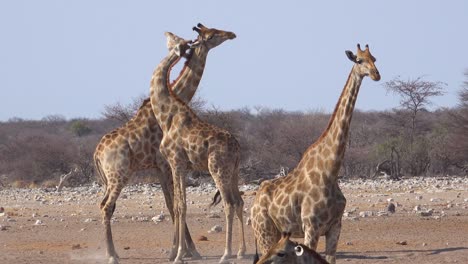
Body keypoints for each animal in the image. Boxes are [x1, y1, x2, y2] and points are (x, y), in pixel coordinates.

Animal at [93, 27, 236, 264]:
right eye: (213, 34)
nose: (231, 34)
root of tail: (97, 153)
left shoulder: (161, 166)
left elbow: (172, 204)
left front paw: (185, 251)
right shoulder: (164, 164)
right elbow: (174, 204)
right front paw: (186, 251)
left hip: (110, 178)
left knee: (107, 206)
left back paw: (112, 252)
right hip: (118, 174)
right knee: (106, 206)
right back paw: (111, 255)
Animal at [250, 43, 378, 264]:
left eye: (375, 59)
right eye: (359, 60)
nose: (376, 74)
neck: (331, 171)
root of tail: (254, 203)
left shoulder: (335, 227)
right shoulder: (311, 227)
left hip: (276, 233)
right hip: (264, 231)